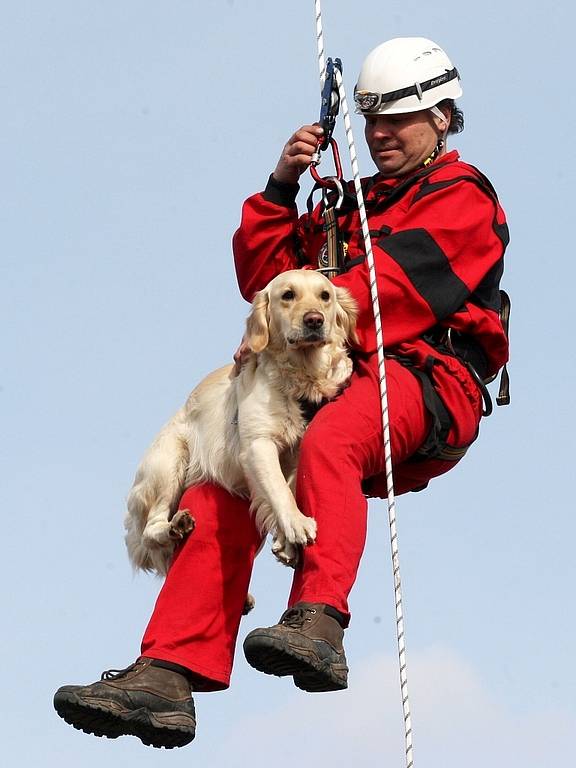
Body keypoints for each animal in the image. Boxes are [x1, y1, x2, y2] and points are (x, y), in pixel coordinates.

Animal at [125, 270, 356, 576]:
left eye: (325, 296)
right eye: (288, 295)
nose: (314, 320)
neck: (301, 375)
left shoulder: (298, 451)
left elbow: (288, 486)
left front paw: (285, 541)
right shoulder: (258, 444)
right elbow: (279, 489)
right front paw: (296, 523)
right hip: (168, 462)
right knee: (151, 529)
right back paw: (175, 525)